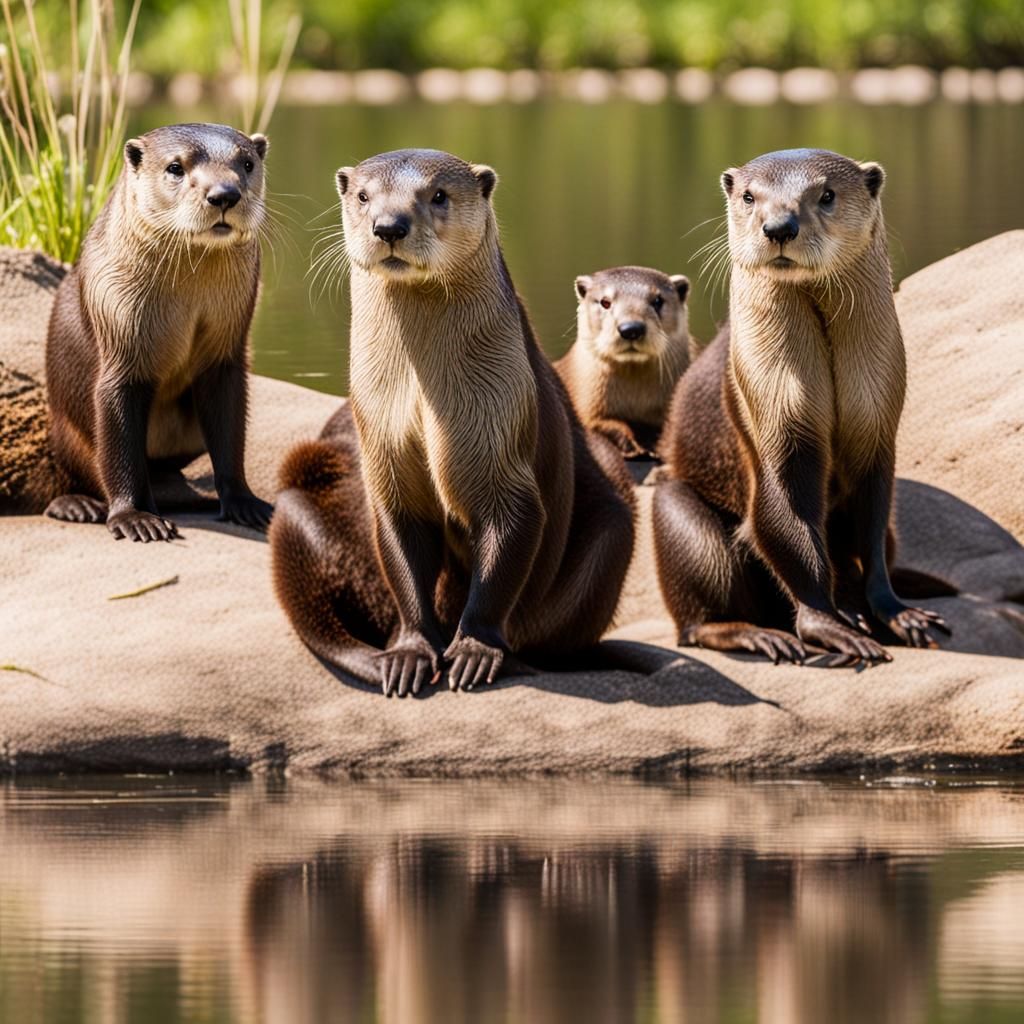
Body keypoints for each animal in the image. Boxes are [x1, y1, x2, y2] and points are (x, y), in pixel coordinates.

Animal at [44, 122, 273, 541]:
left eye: (247, 163)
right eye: (175, 167)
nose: (224, 194)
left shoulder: (227, 353)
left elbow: (230, 434)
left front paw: (245, 503)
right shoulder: (119, 346)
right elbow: (119, 444)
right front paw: (135, 517)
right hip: (64, 431)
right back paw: (78, 505)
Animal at [270, 148, 635, 696]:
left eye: (438, 195)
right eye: (364, 196)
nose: (389, 225)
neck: (424, 398)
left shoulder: (503, 438)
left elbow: (509, 540)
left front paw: (473, 650)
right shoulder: (383, 453)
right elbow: (401, 546)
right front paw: (410, 651)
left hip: (613, 512)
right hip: (299, 502)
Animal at [555, 266, 693, 458]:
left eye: (657, 300)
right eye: (605, 302)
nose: (631, 328)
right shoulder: (585, 405)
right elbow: (602, 424)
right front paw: (632, 446)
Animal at [653, 148, 949, 666]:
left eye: (826, 194)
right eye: (750, 197)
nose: (779, 226)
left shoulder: (877, 428)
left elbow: (872, 524)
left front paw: (895, 613)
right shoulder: (777, 423)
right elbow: (784, 519)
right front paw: (827, 626)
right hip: (678, 514)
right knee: (694, 620)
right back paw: (758, 633)